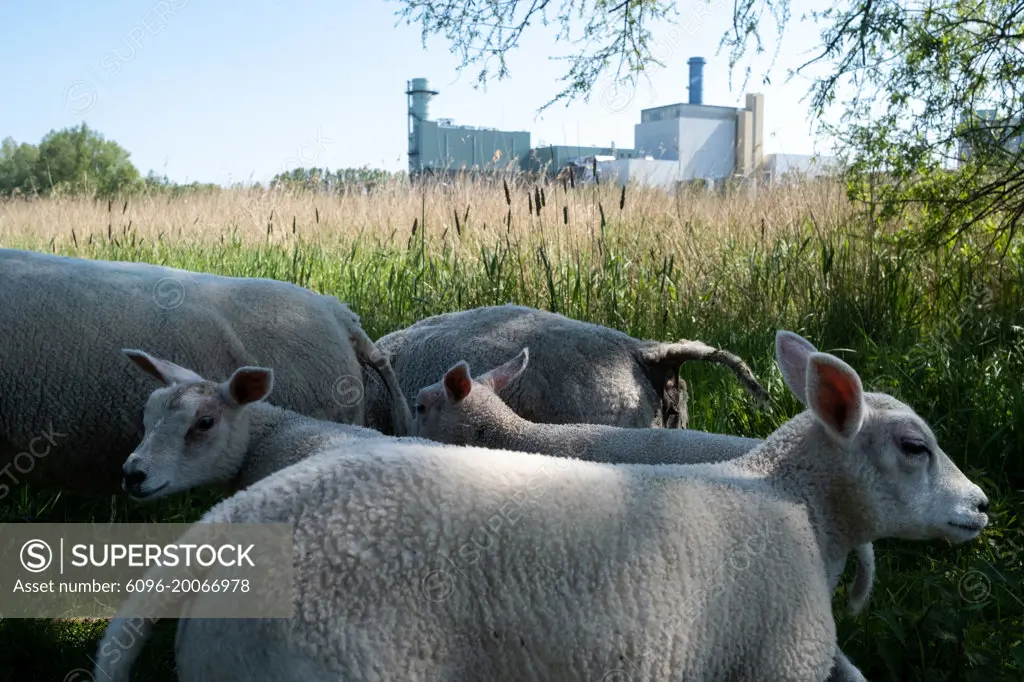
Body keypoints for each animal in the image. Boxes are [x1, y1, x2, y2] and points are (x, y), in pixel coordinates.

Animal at [96, 329, 991, 679]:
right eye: (915, 447)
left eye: (201, 422)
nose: (982, 506)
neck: (786, 499)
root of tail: (231, 522)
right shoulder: (774, 665)